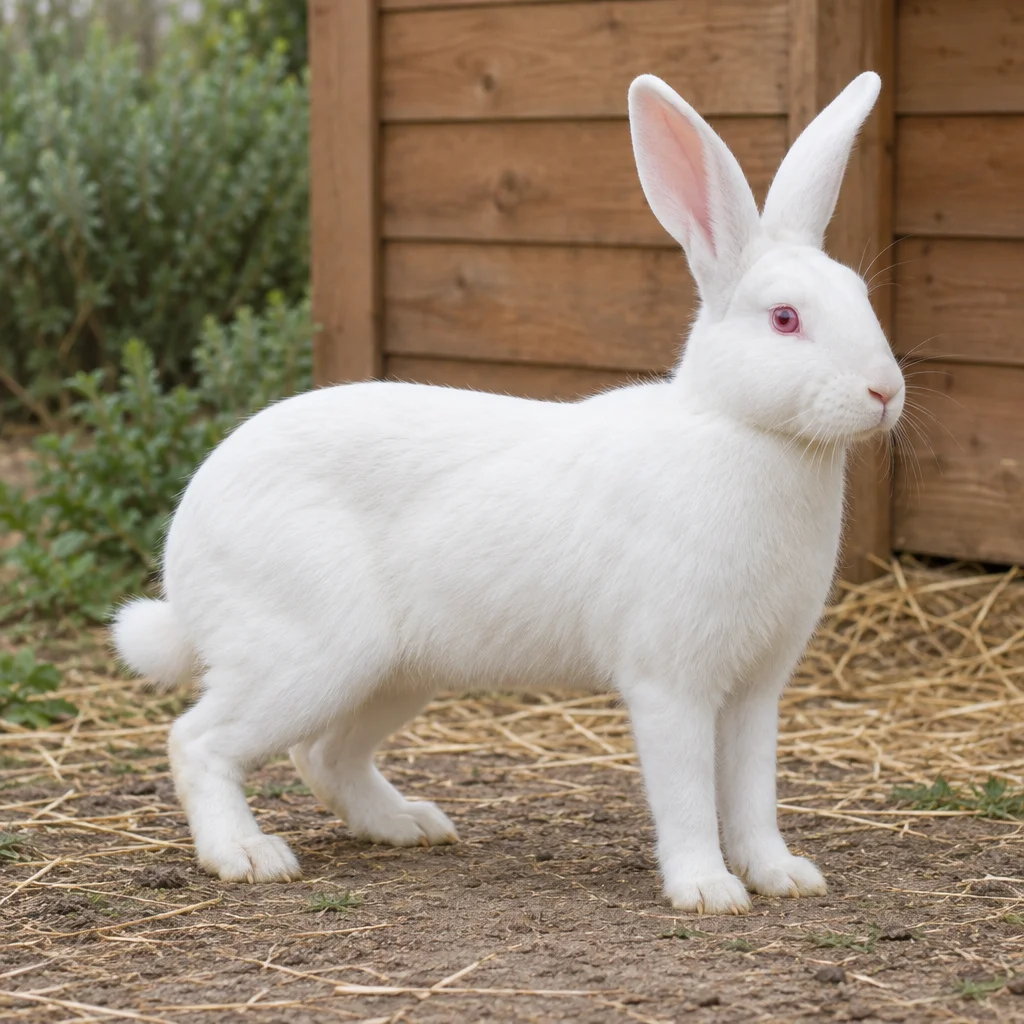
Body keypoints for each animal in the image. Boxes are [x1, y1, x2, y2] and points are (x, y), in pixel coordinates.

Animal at [112, 70, 903, 915]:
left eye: (861, 295)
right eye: (785, 319)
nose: (885, 391)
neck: (739, 426)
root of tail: (184, 547)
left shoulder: (756, 692)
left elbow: (753, 795)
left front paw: (783, 876)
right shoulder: (671, 684)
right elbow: (689, 795)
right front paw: (706, 891)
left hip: (392, 673)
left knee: (323, 756)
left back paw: (410, 825)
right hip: (305, 656)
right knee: (198, 742)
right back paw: (249, 856)